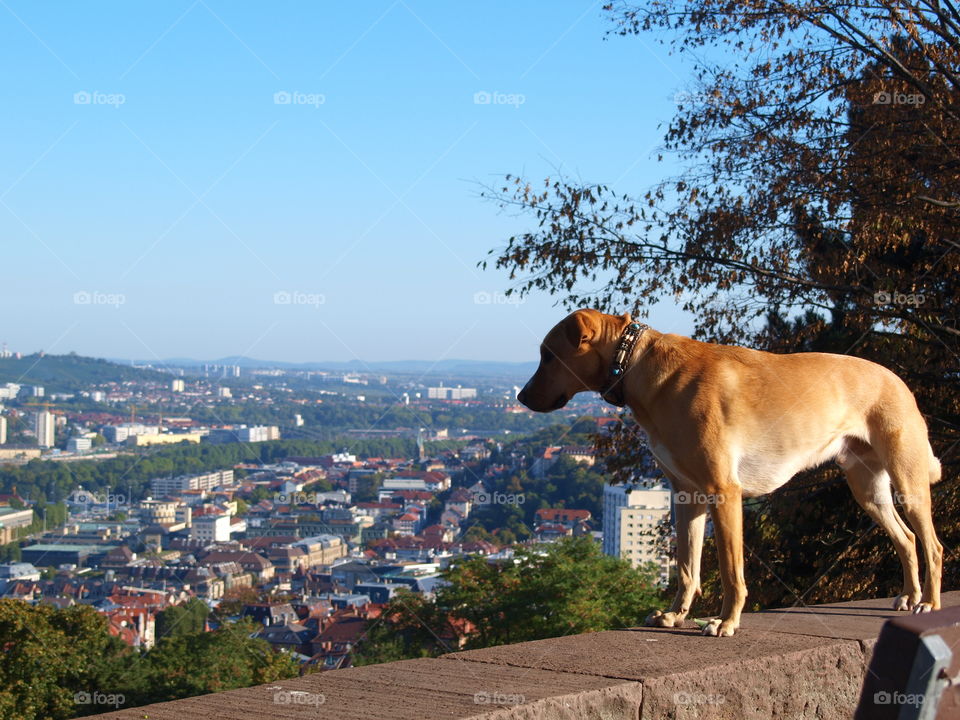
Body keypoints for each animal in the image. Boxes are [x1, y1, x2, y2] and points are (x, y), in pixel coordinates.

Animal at [520, 310, 940, 636]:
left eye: (549, 356)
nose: (522, 398)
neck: (637, 364)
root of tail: (898, 380)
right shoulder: (686, 496)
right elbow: (687, 568)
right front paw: (675, 615)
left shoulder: (723, 492)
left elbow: (729, 569)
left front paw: (726, 622)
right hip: (869, 491)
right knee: (906, 539)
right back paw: (910, 596)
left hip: (909, 483)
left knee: (931, 546)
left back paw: (929, 604)